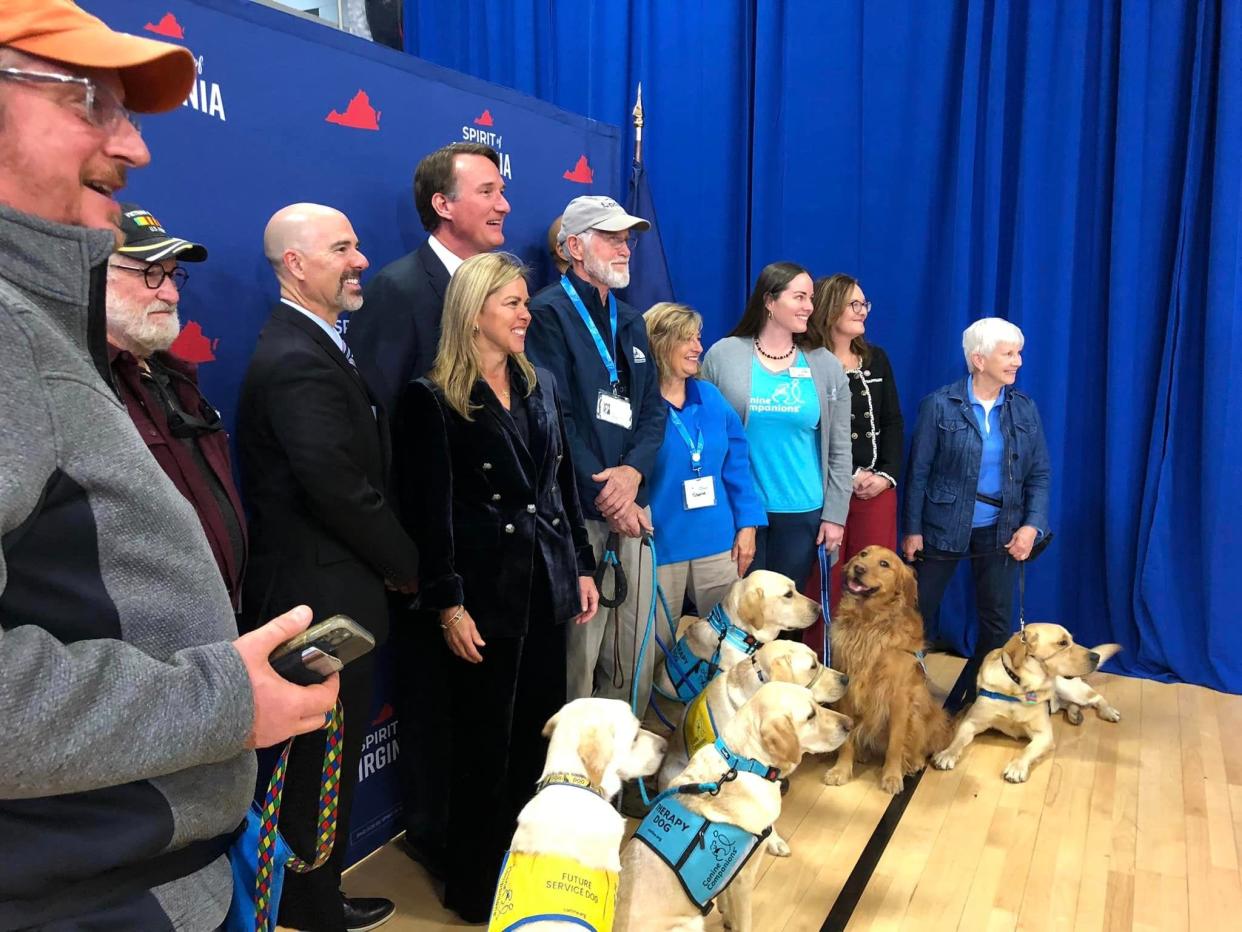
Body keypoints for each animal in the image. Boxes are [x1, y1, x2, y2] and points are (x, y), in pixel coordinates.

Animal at [613, 680, 849, 929]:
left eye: (816, 702)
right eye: (811, 715)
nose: (850, 724)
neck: (745, 763)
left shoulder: (730, 874)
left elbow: (724, 896)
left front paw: (725, 914)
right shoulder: (744, 876)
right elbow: (744, 921)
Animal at [824, 546, 948, 795]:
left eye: (884, 564)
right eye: (863, 554)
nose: (858, 568)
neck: (869, 623)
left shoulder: (899, 698)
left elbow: (895, 744)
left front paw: (891, 776)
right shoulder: (848, 686)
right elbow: (846, 741)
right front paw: (841, 770)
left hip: (920, 711)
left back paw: (912, 763)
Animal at [933, 623, 1127, 785]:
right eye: (1062, 643)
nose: (1096, 656)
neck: (1018, 688)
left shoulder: (1044, 735)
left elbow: (1027, 750)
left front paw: (1017, 767)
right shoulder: (971, 722)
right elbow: (957, 740)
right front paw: (946, 754)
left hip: (1070, 689)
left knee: (1095, 697)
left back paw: (1108, 712)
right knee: (1066, 704)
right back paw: (1074, 714)